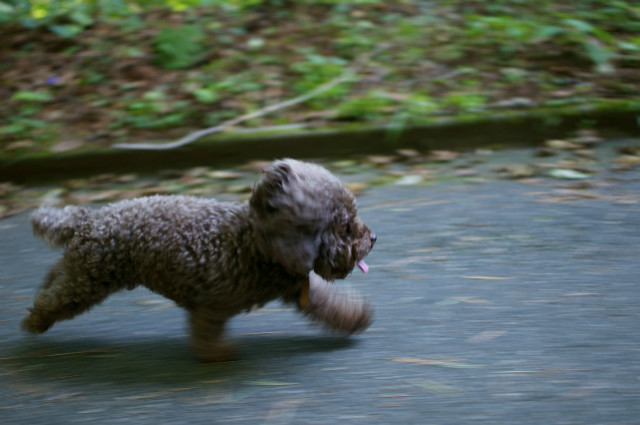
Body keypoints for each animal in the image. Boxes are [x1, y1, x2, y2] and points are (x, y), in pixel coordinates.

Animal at [22, 159, 378, 362]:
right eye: (344, 227)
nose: (372, 238)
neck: (258, 245)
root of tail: (87, 219)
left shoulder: (297, 289)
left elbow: (328, 305)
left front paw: (355, 318)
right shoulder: (212, 305)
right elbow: (205, 333)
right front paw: (217, 355)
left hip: (83, 270)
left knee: (56, 275)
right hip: (89, 281)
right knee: (55, 300)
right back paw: (35, 322)